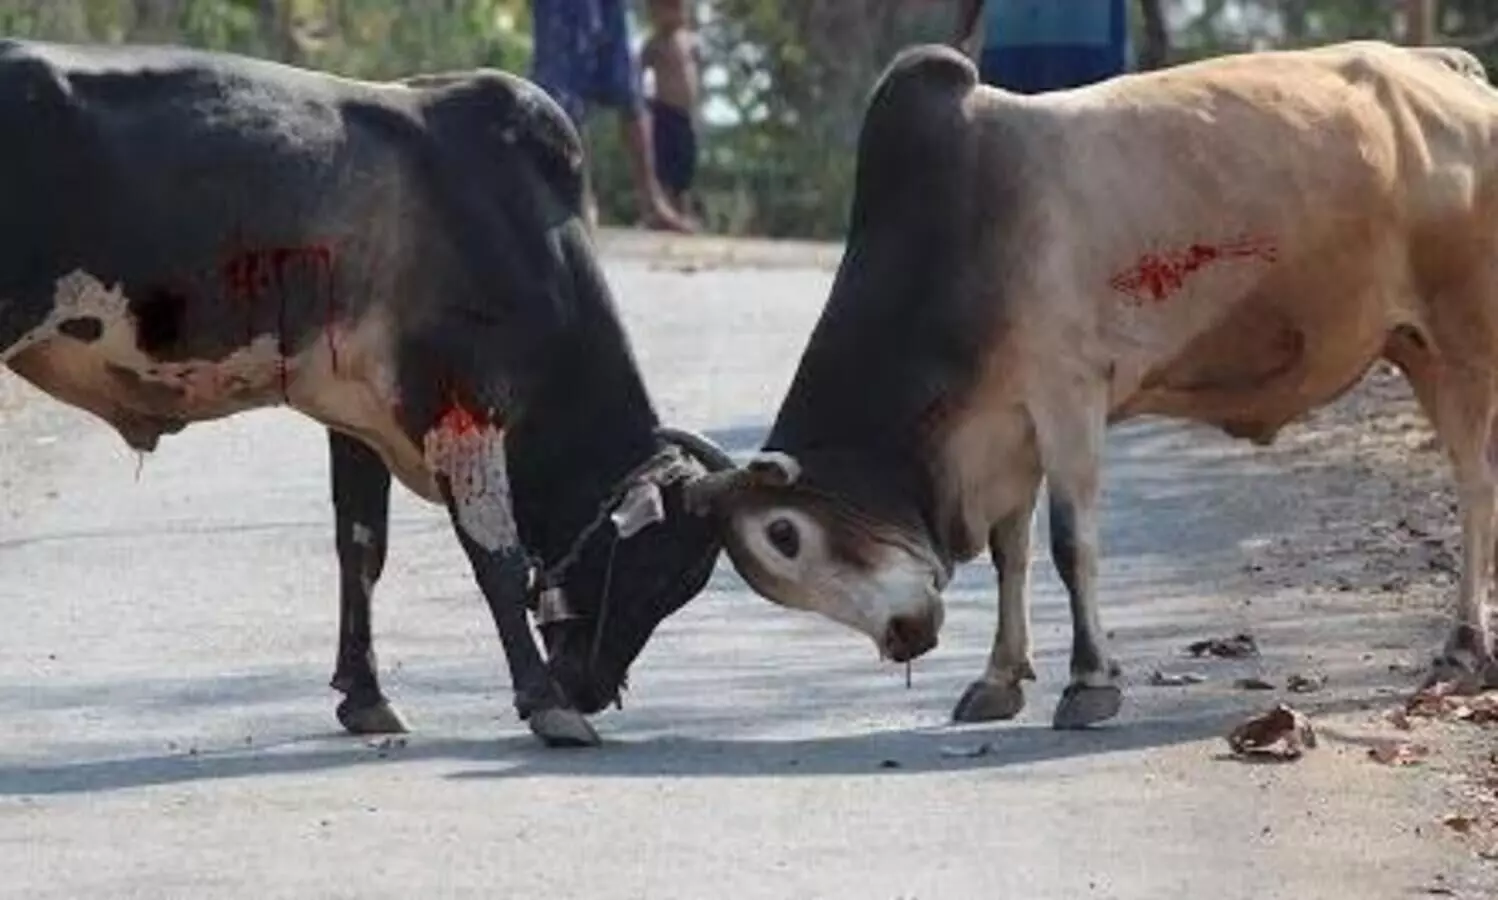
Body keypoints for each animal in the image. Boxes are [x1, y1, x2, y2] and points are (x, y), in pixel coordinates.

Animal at [0, 38, 736, 748]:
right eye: (657, 572)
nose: (590, 688)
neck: (526, 227)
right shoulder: (465, 406)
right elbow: (495, 558)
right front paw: (547, 703)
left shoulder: (355, 418)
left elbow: (360, 550)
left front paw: (366, 695)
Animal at [671, 39, 1498, 731]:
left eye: (785, 534)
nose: (904, 638)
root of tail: (1462, 77)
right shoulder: (1009, 423)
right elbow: (1011, 554)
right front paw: (1000, 678)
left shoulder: (1067, 392)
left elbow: (1072, 545)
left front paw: (1090, 682)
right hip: (1417, 347)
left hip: (1463, 344)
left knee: (1475, 488)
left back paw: (1462, 649)